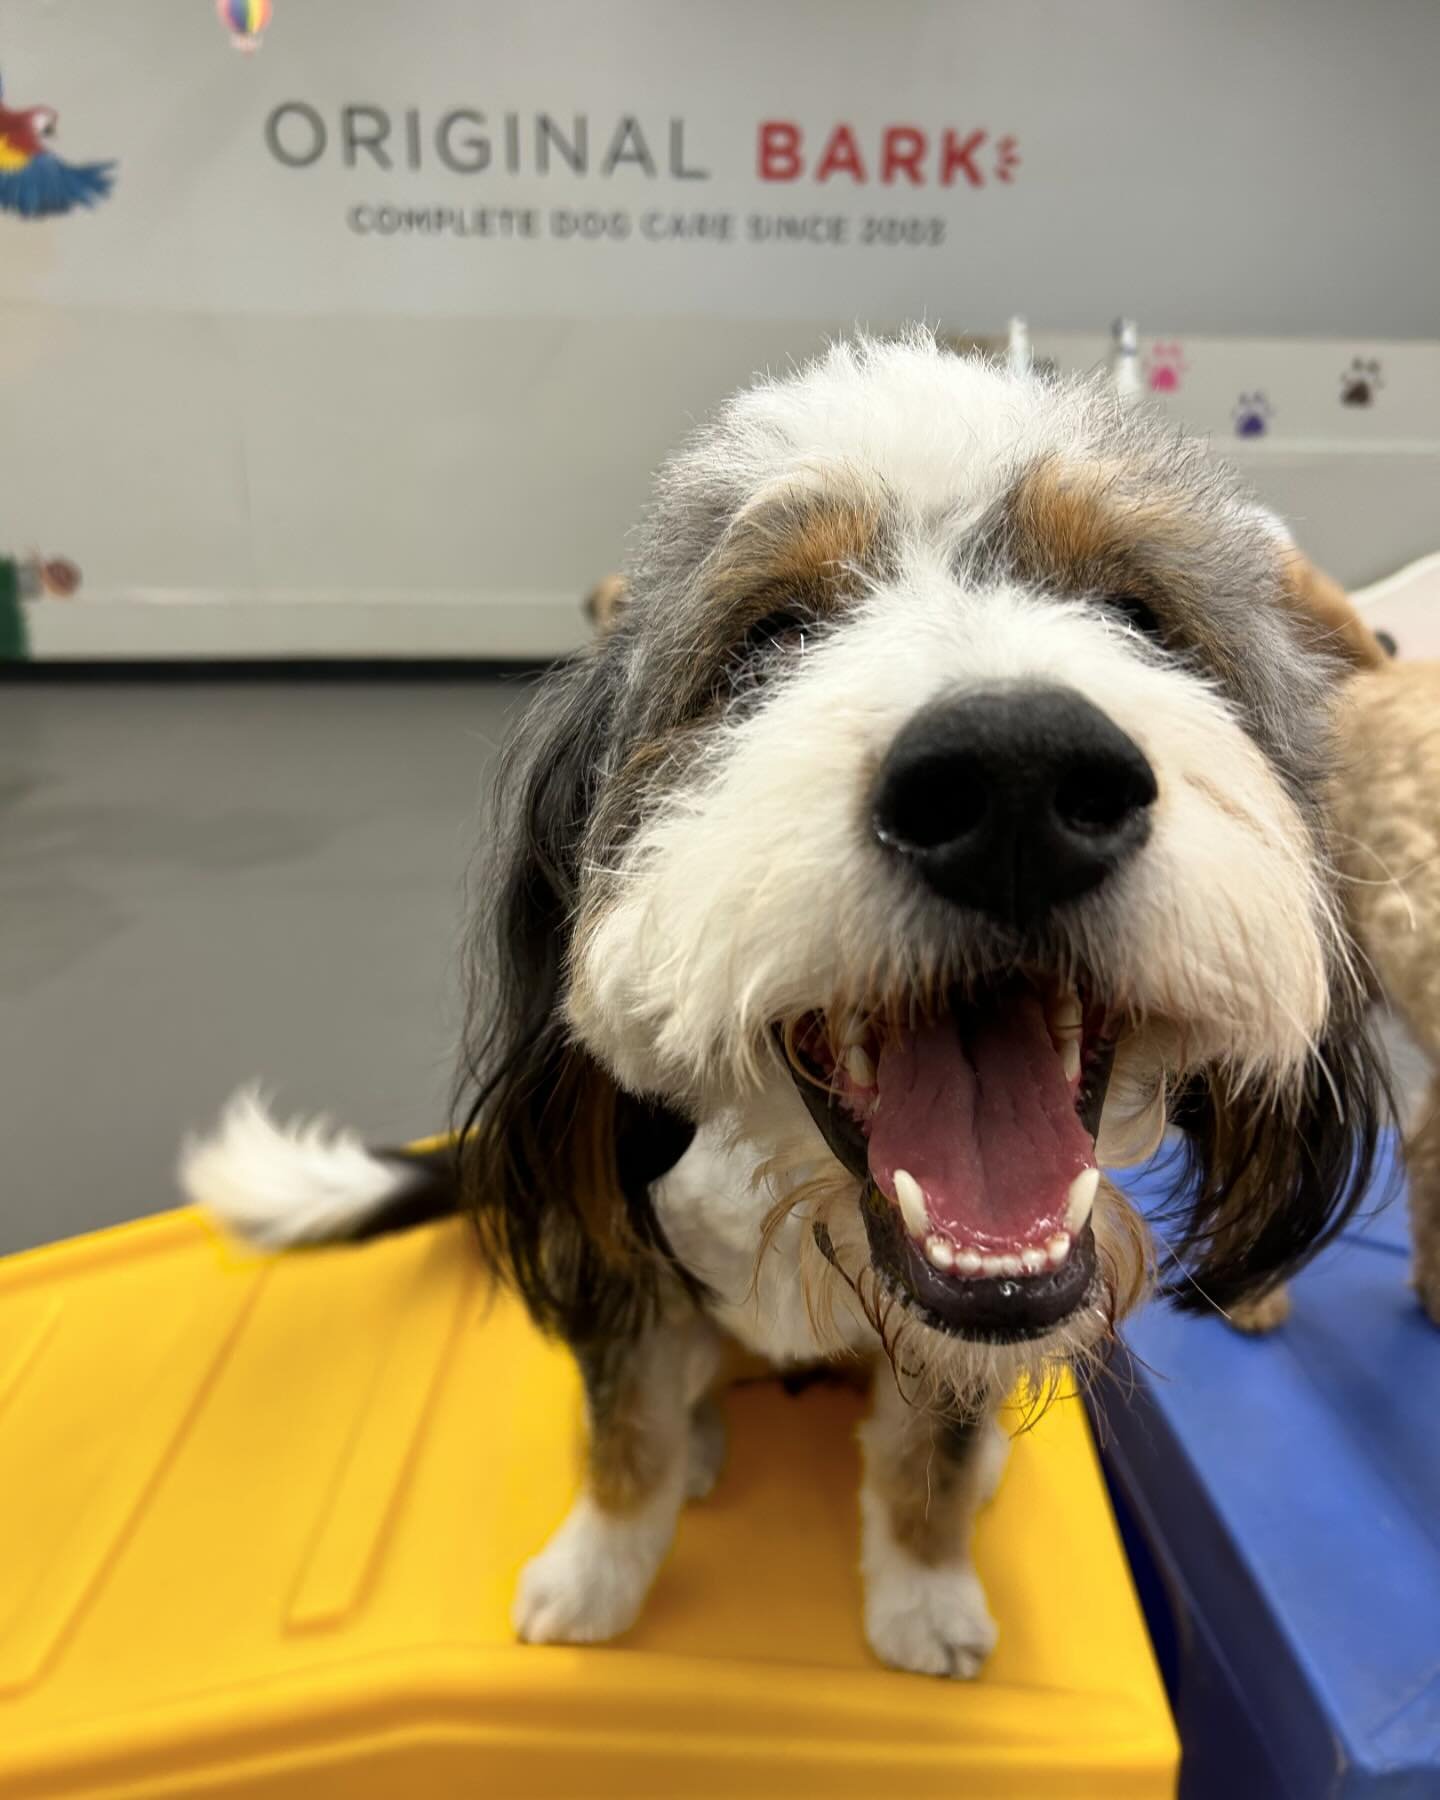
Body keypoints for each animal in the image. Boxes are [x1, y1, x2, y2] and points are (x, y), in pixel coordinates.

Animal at [185, 331, 1389, 1677]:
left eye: (1143, 618)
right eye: (769, 641)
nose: (1014, 778)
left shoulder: (957, 1346)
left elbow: (929, 1455)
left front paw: (923, 1588)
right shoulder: (622, 1262)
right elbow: (627, 1428)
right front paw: (599, 1573)